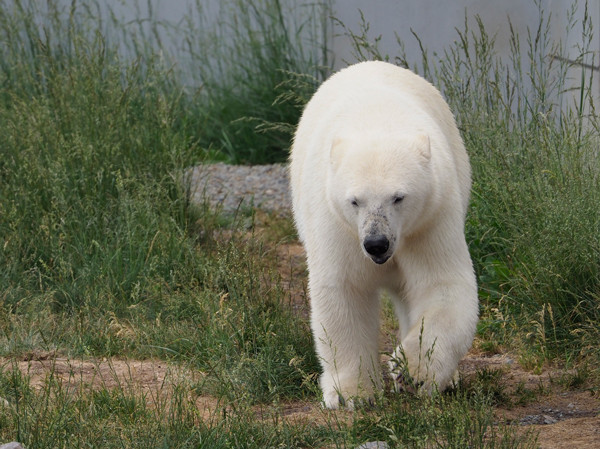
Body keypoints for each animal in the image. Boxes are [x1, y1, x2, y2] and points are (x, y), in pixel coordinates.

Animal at [290, 61, 478, 408]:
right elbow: (344, 288)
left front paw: (410, 371)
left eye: (398, 197)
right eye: (355, 201)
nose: (376, 244)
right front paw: (351, 394)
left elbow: (441, 284)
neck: (376, 123)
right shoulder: (337, 225)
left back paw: (449, 378)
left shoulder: (430, 218)